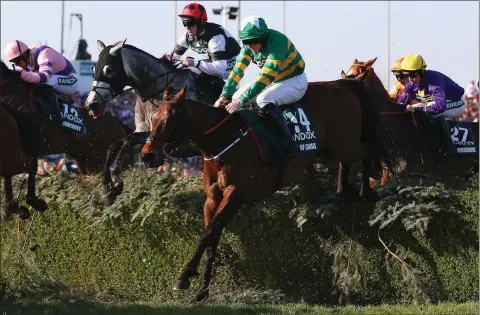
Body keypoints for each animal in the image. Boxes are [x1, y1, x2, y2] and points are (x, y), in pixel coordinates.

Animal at [0, 61, 128, 220]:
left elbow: (30, 169)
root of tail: (116, 122)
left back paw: (113, 187)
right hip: (89, 163)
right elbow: (12, 176)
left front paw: (34, 203)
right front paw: (20, 208)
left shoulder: (29, 144)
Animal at [84, 39, 223, 205]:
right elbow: (115, 145)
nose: (91, 104)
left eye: (109, 69)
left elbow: (128, 140)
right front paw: (107, 189)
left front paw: (116, 177)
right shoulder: (143, 139)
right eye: (93, 69)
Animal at [140, 81, 394, 302]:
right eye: (152, 119)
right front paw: (201, 291)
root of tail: (341, 83)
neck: (223, 141)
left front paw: (184, 277)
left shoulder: (237, 193)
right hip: (335, 145)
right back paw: (344, 190)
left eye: (167, 121)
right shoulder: (212, 199)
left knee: (369, 149)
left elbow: (208, 233)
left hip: (346, 142)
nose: (147, 156)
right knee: (351, 158)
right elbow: (212, 238)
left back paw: (366, 192)